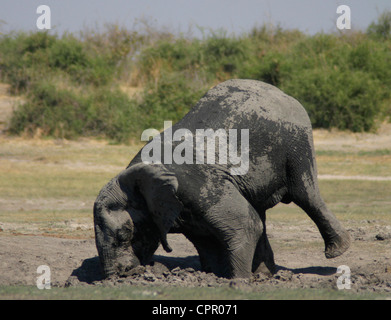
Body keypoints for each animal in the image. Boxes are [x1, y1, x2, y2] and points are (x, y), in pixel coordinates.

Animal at [92, 79, 352, 278]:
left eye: (124, 235)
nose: (123, 276)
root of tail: (281, 92)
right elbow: (207, 239)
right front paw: (219, 275)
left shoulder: (197, 185)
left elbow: (245, 225)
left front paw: (238, 281)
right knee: (259, 210)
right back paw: (264, 275)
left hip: (296, 143)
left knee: (305, 194)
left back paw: (336, 252)